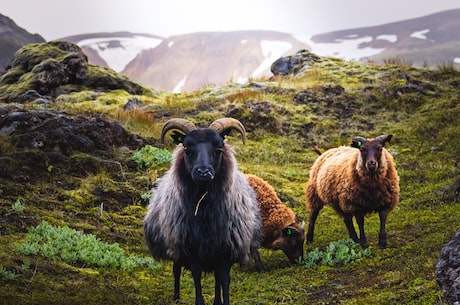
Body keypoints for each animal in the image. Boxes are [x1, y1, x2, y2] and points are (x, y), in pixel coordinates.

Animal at [144, 117, 260, 304]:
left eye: (219, 147)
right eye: (186, 147)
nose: (203, 172)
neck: (204, 206)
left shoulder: (225, 248)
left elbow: (223, 279)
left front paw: (222, 301)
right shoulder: (189, 247)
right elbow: (196, 276)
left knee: (216, 278)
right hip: (175, 244)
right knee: (176, 269)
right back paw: (176, 297)